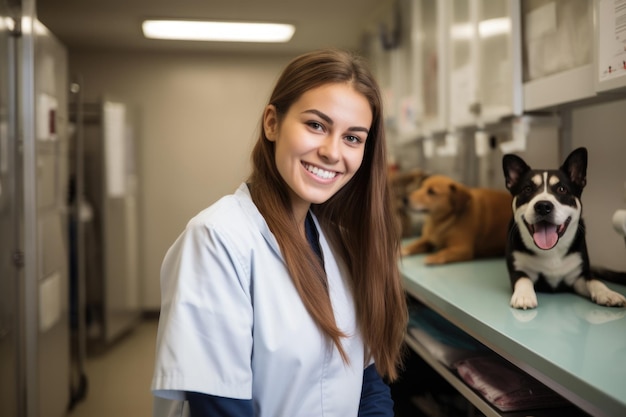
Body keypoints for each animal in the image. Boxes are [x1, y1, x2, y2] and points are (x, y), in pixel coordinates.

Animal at [502, 147, 624, 308]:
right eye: (527, 189)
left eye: (561, 189)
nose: (543, 206)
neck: (550, 251)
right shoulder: (518, 269)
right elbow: (523, 278)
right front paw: (524, 295)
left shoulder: (579, 276)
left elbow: (595, 281)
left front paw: (608, 293)